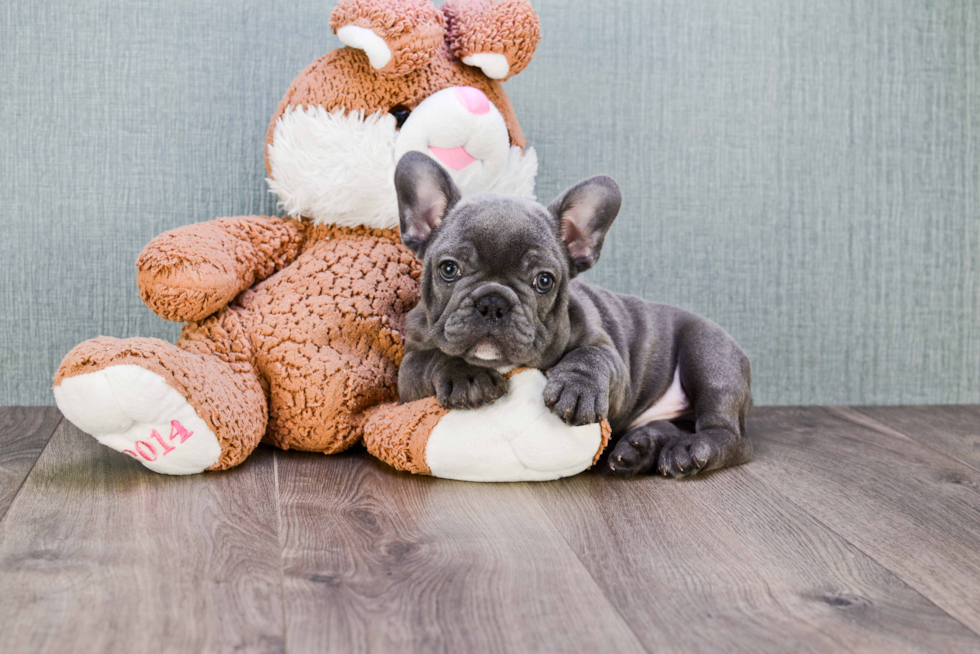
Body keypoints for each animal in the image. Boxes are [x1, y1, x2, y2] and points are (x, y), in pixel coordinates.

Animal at [394, 154, 756, 482]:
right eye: (448, 269)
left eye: (544, 280)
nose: (493, 302)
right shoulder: (408, 369)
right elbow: (434, 359)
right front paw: (466, 375)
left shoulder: (610, 356)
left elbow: (591, 356)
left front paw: (577, 388)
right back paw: (639, 449)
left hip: (708, 353)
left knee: (730, 435)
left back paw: (688, 450)